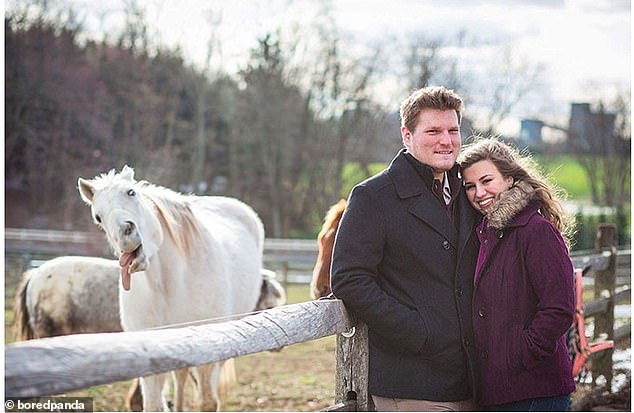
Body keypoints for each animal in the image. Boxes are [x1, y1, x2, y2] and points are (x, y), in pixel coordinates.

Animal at [78, 166, 264, 410]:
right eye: (98, 217)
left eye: (131, 192)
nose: (126, 234)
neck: (166, 286)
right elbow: (154, 404)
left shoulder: (210, 350)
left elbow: (207, 402)